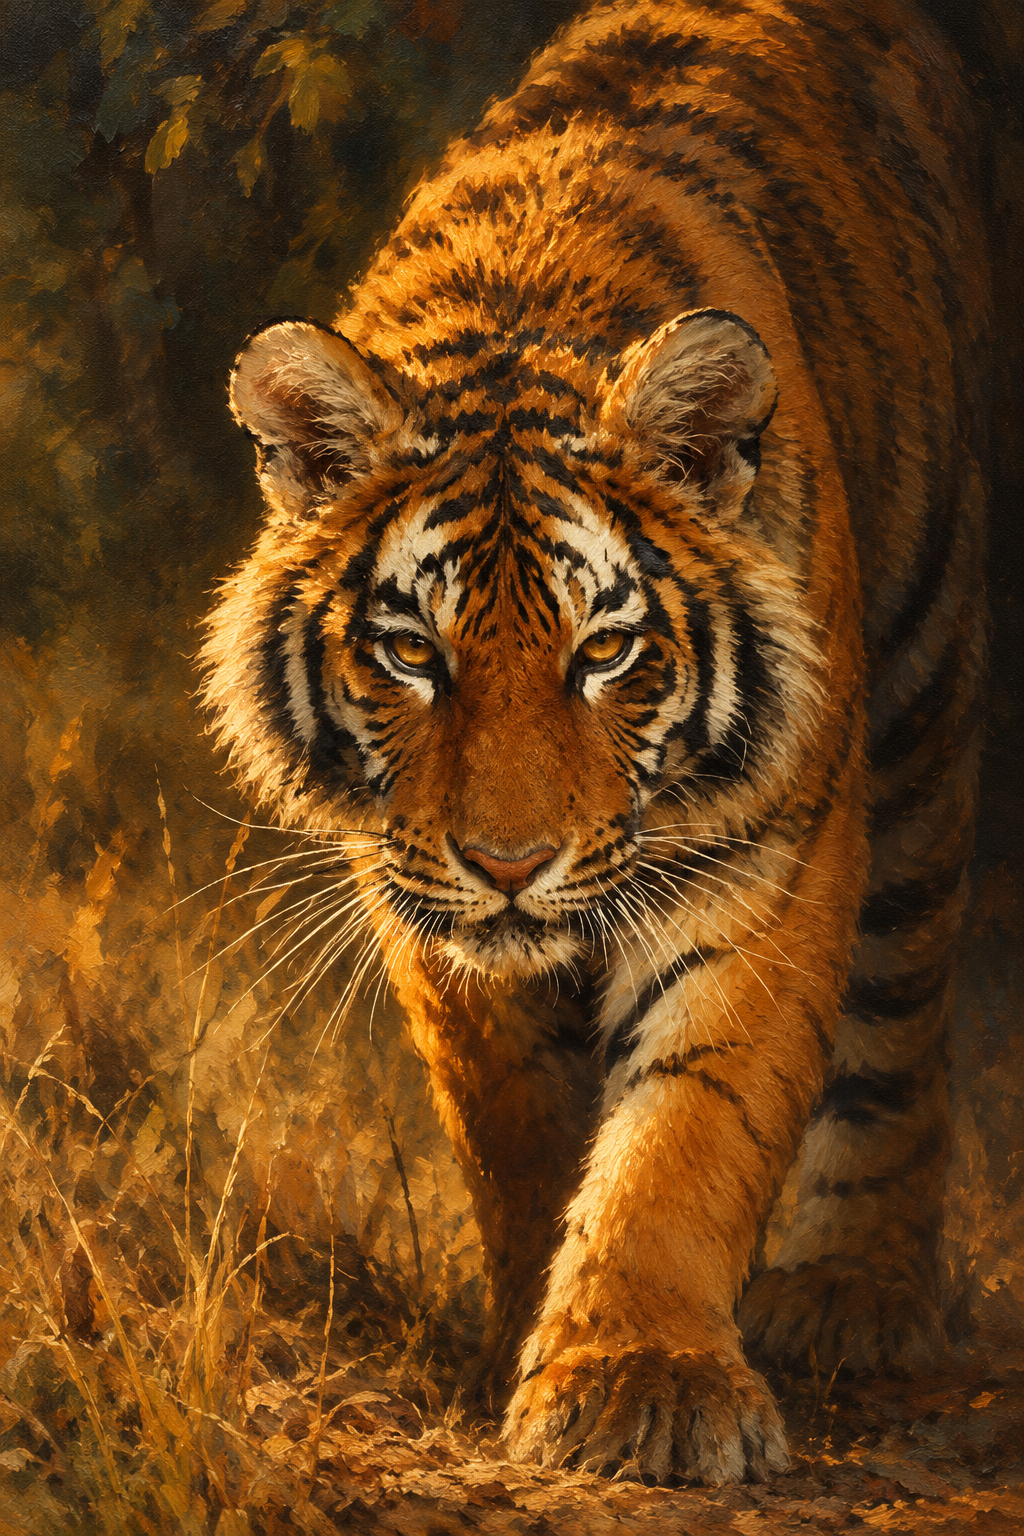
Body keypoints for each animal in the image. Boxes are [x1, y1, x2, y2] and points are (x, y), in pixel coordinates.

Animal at [201, 0, 989, 1486]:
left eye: (605, 652)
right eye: (413, 653)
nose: (511, 864)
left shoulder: (764, 860)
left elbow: (688, 1127)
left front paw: (642, 1382)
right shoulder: (424, 899)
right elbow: (518, 1131)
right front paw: (533, 1335)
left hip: (922, 679)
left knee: (904, 999)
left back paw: (850, 1296)